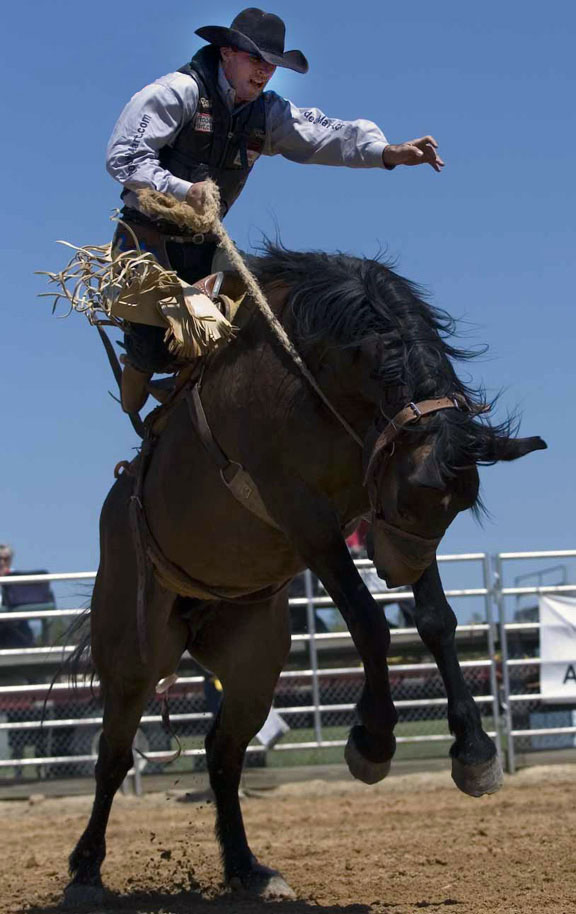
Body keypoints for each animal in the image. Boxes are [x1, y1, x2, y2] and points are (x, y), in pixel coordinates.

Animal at [65, 244, 548, 904]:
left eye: (459, 504)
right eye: (419, 496)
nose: (394, 568)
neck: (315, 376)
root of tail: (118, 502)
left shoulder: (372, 498)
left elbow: (436, 621)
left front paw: (474, 753)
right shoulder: (309, 521)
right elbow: (370, 624)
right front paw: (373, 743)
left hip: (252, 660)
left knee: (223, 753)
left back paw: (248, 869)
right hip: (133, 655)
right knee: (113, 755)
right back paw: (86, 872)